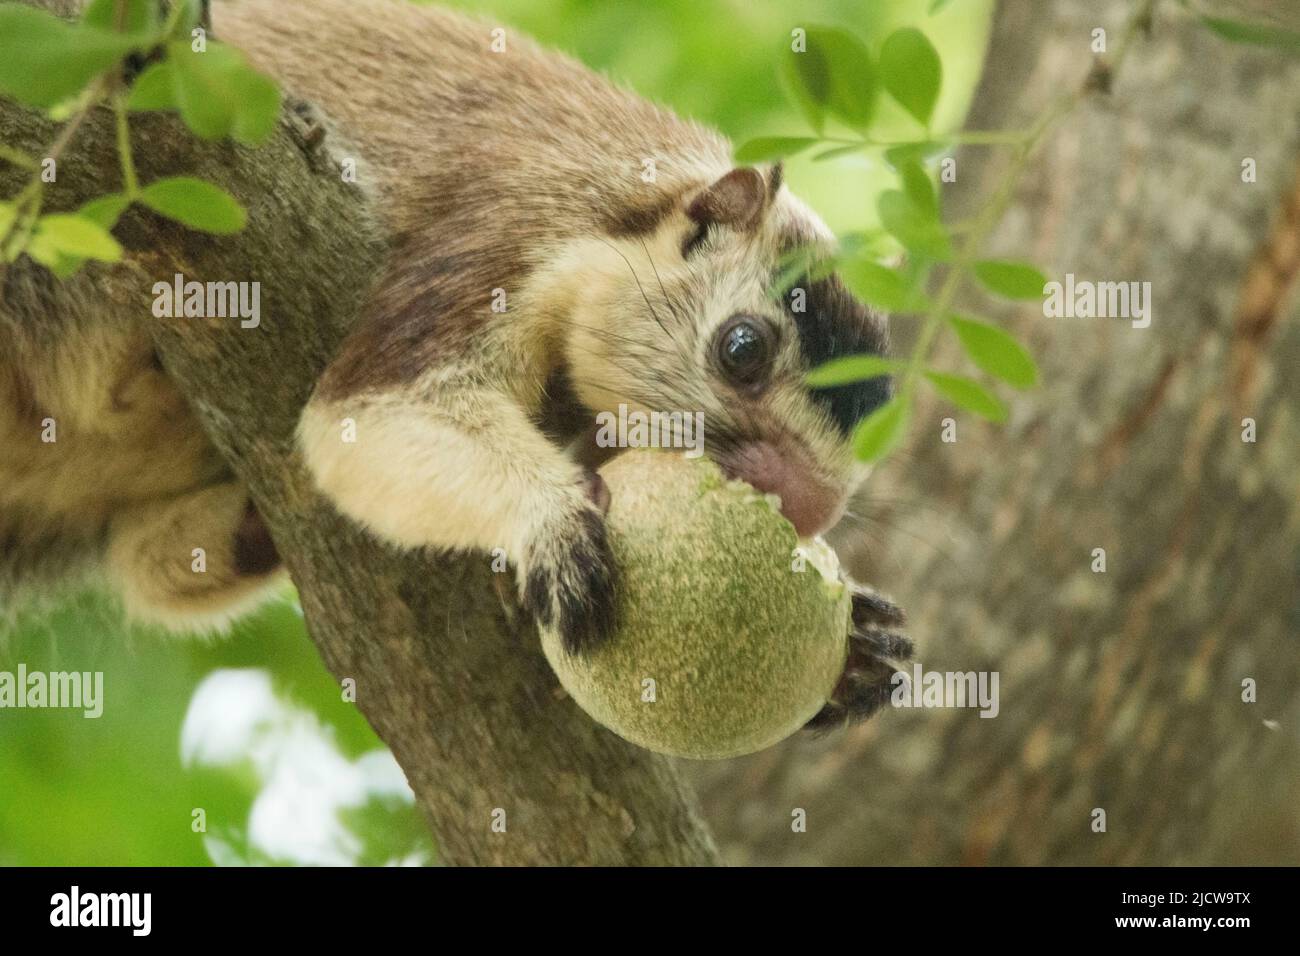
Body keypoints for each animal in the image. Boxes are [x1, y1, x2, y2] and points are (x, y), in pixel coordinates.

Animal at [2, 0, 915, 728]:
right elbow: (372, 412)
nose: (806, 504)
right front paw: (550, 523)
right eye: (743, 349)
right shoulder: (499, 241)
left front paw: (856, 657)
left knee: (152, 567)